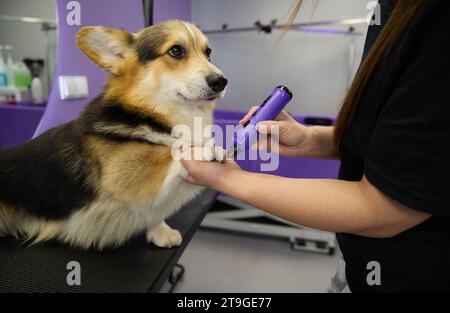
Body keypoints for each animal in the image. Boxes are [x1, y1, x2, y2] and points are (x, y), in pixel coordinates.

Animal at [0, 18, 227, 249]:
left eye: (208, 52)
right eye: (176, 50)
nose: (221, 81)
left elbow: (155, 212)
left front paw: (161, 232)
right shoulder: (121, 174)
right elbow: (167, 154)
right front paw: (202, 150)